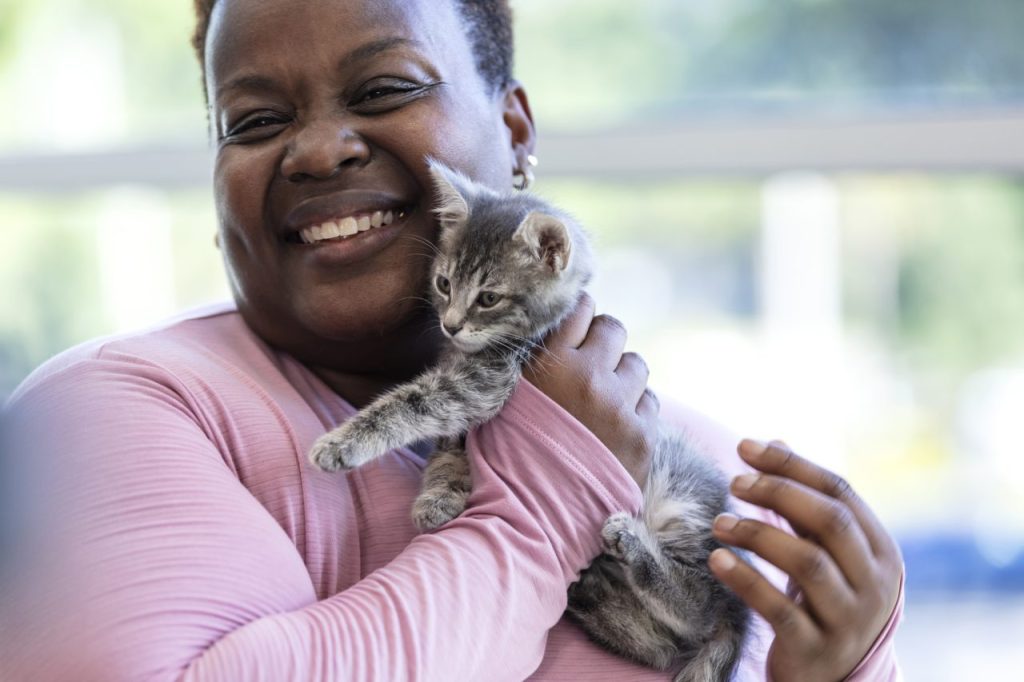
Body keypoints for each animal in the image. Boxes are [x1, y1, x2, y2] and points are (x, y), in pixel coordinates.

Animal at [307, 160, 749, 679]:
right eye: (444, 284)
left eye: (489, 298)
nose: (450, 325)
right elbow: (449, 450)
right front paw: (439, 496)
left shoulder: (486, 383)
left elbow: (413, 403)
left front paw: (343, 443)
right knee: (658, 644)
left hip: (684, 502)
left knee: (702, 607)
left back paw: (636, 546)